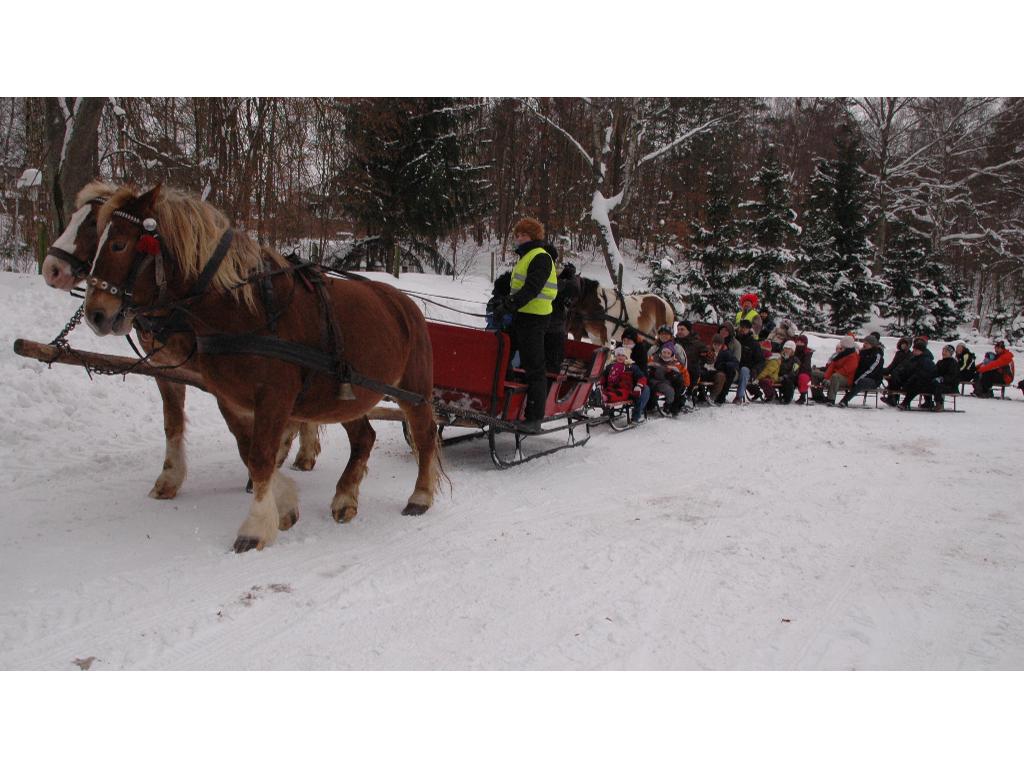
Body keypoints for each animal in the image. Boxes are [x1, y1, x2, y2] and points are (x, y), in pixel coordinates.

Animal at [41, 182, 321, 499]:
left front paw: (260, 476)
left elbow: (239, 427)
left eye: (94, 225)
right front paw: (169, 479)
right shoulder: (167, 369)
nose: (51, 268)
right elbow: (172, 422)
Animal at [83, 189, 444, 557]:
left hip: (413, 390)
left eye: (119, 245)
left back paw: (420, 495)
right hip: (345, 397)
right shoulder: (229, 397)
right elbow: (250, 451)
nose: (95, 314)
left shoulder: (274, 397)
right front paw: (283, 505)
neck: (246, 309)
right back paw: (345, 497)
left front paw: (254, 528)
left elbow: (259, 456)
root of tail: (406, 304)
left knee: (425, 434)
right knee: (364, 438)